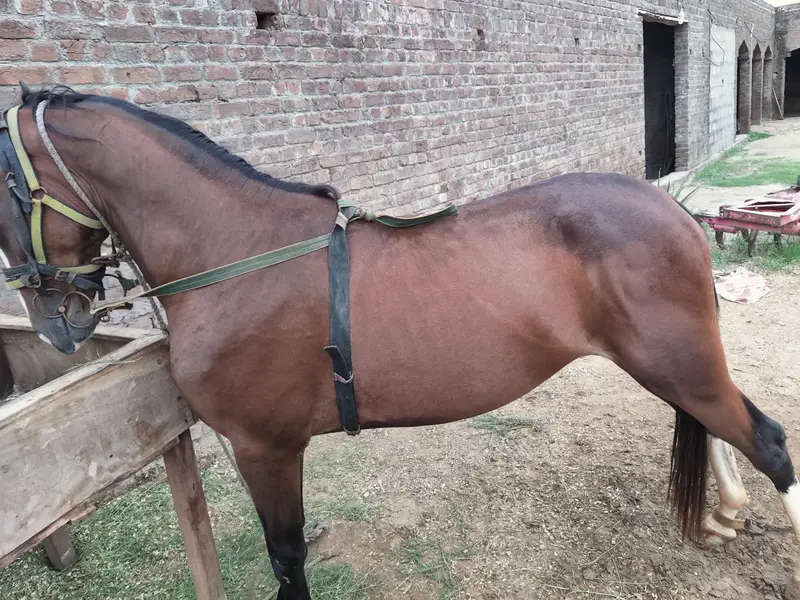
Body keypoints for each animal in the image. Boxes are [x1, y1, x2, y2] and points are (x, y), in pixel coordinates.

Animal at [1, 87, 798, 600]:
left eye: (5, 184)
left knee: (767, 439)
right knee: (723, 424)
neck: (239, 253)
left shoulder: (267, 448)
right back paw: (726, 512)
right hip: (674, 363)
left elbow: (287, 558)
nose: (52, 319)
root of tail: (672, 208)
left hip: (676, 362)